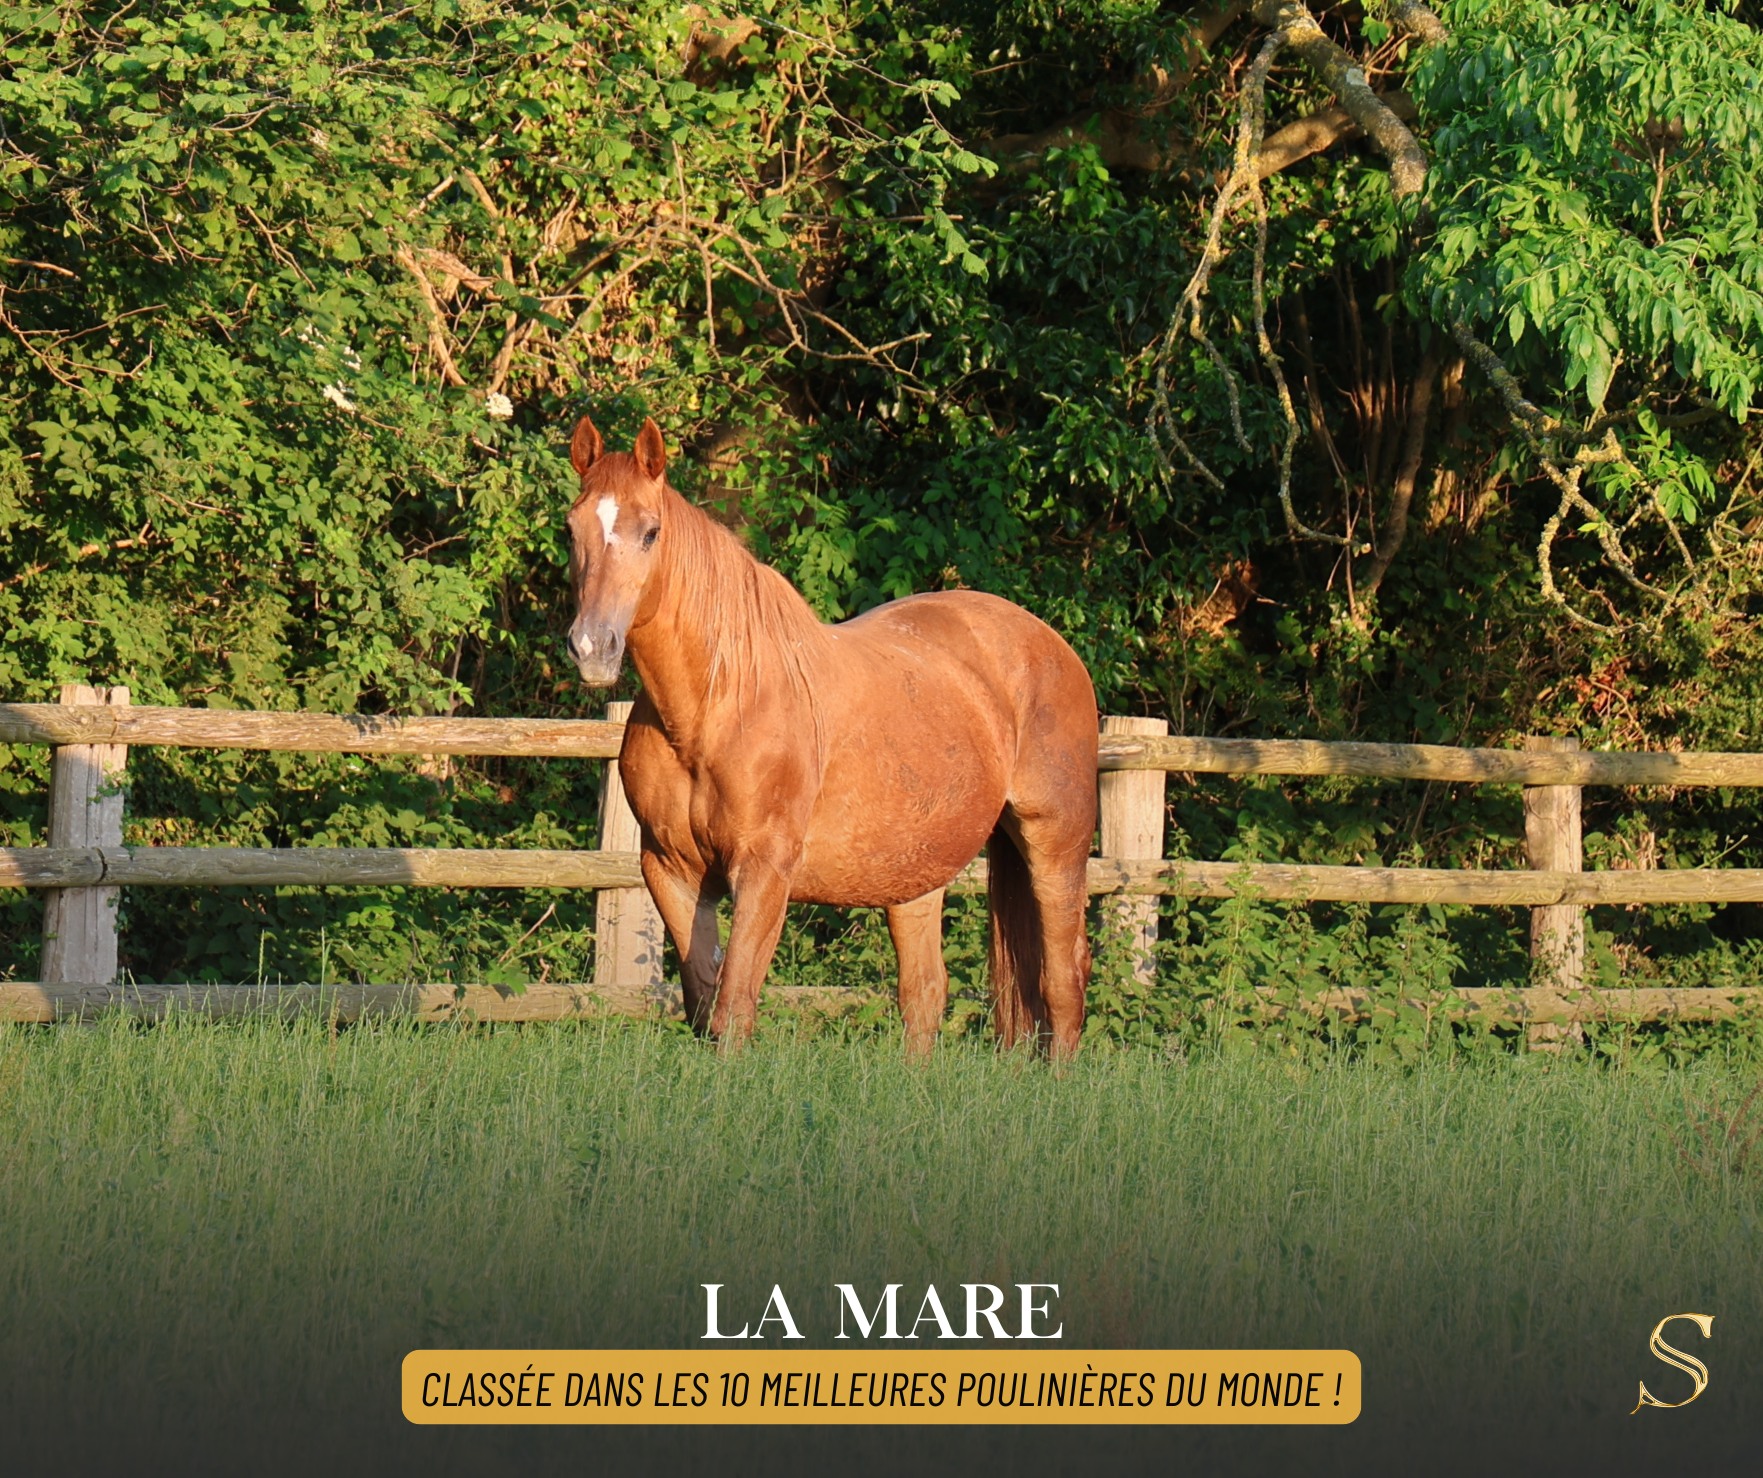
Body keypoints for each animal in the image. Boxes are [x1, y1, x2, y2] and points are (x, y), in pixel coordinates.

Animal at [563, 415, 1098, 1057]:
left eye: (650, 532)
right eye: (571, 529)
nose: (592, 646)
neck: (715, 707)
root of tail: (1052, 645)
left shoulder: (764, 870)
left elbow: (734, 1007)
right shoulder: (671, 870)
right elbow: (703, 1002)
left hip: (1055, 846)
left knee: (1063, 981)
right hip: (914, 874)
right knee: (925, 995)